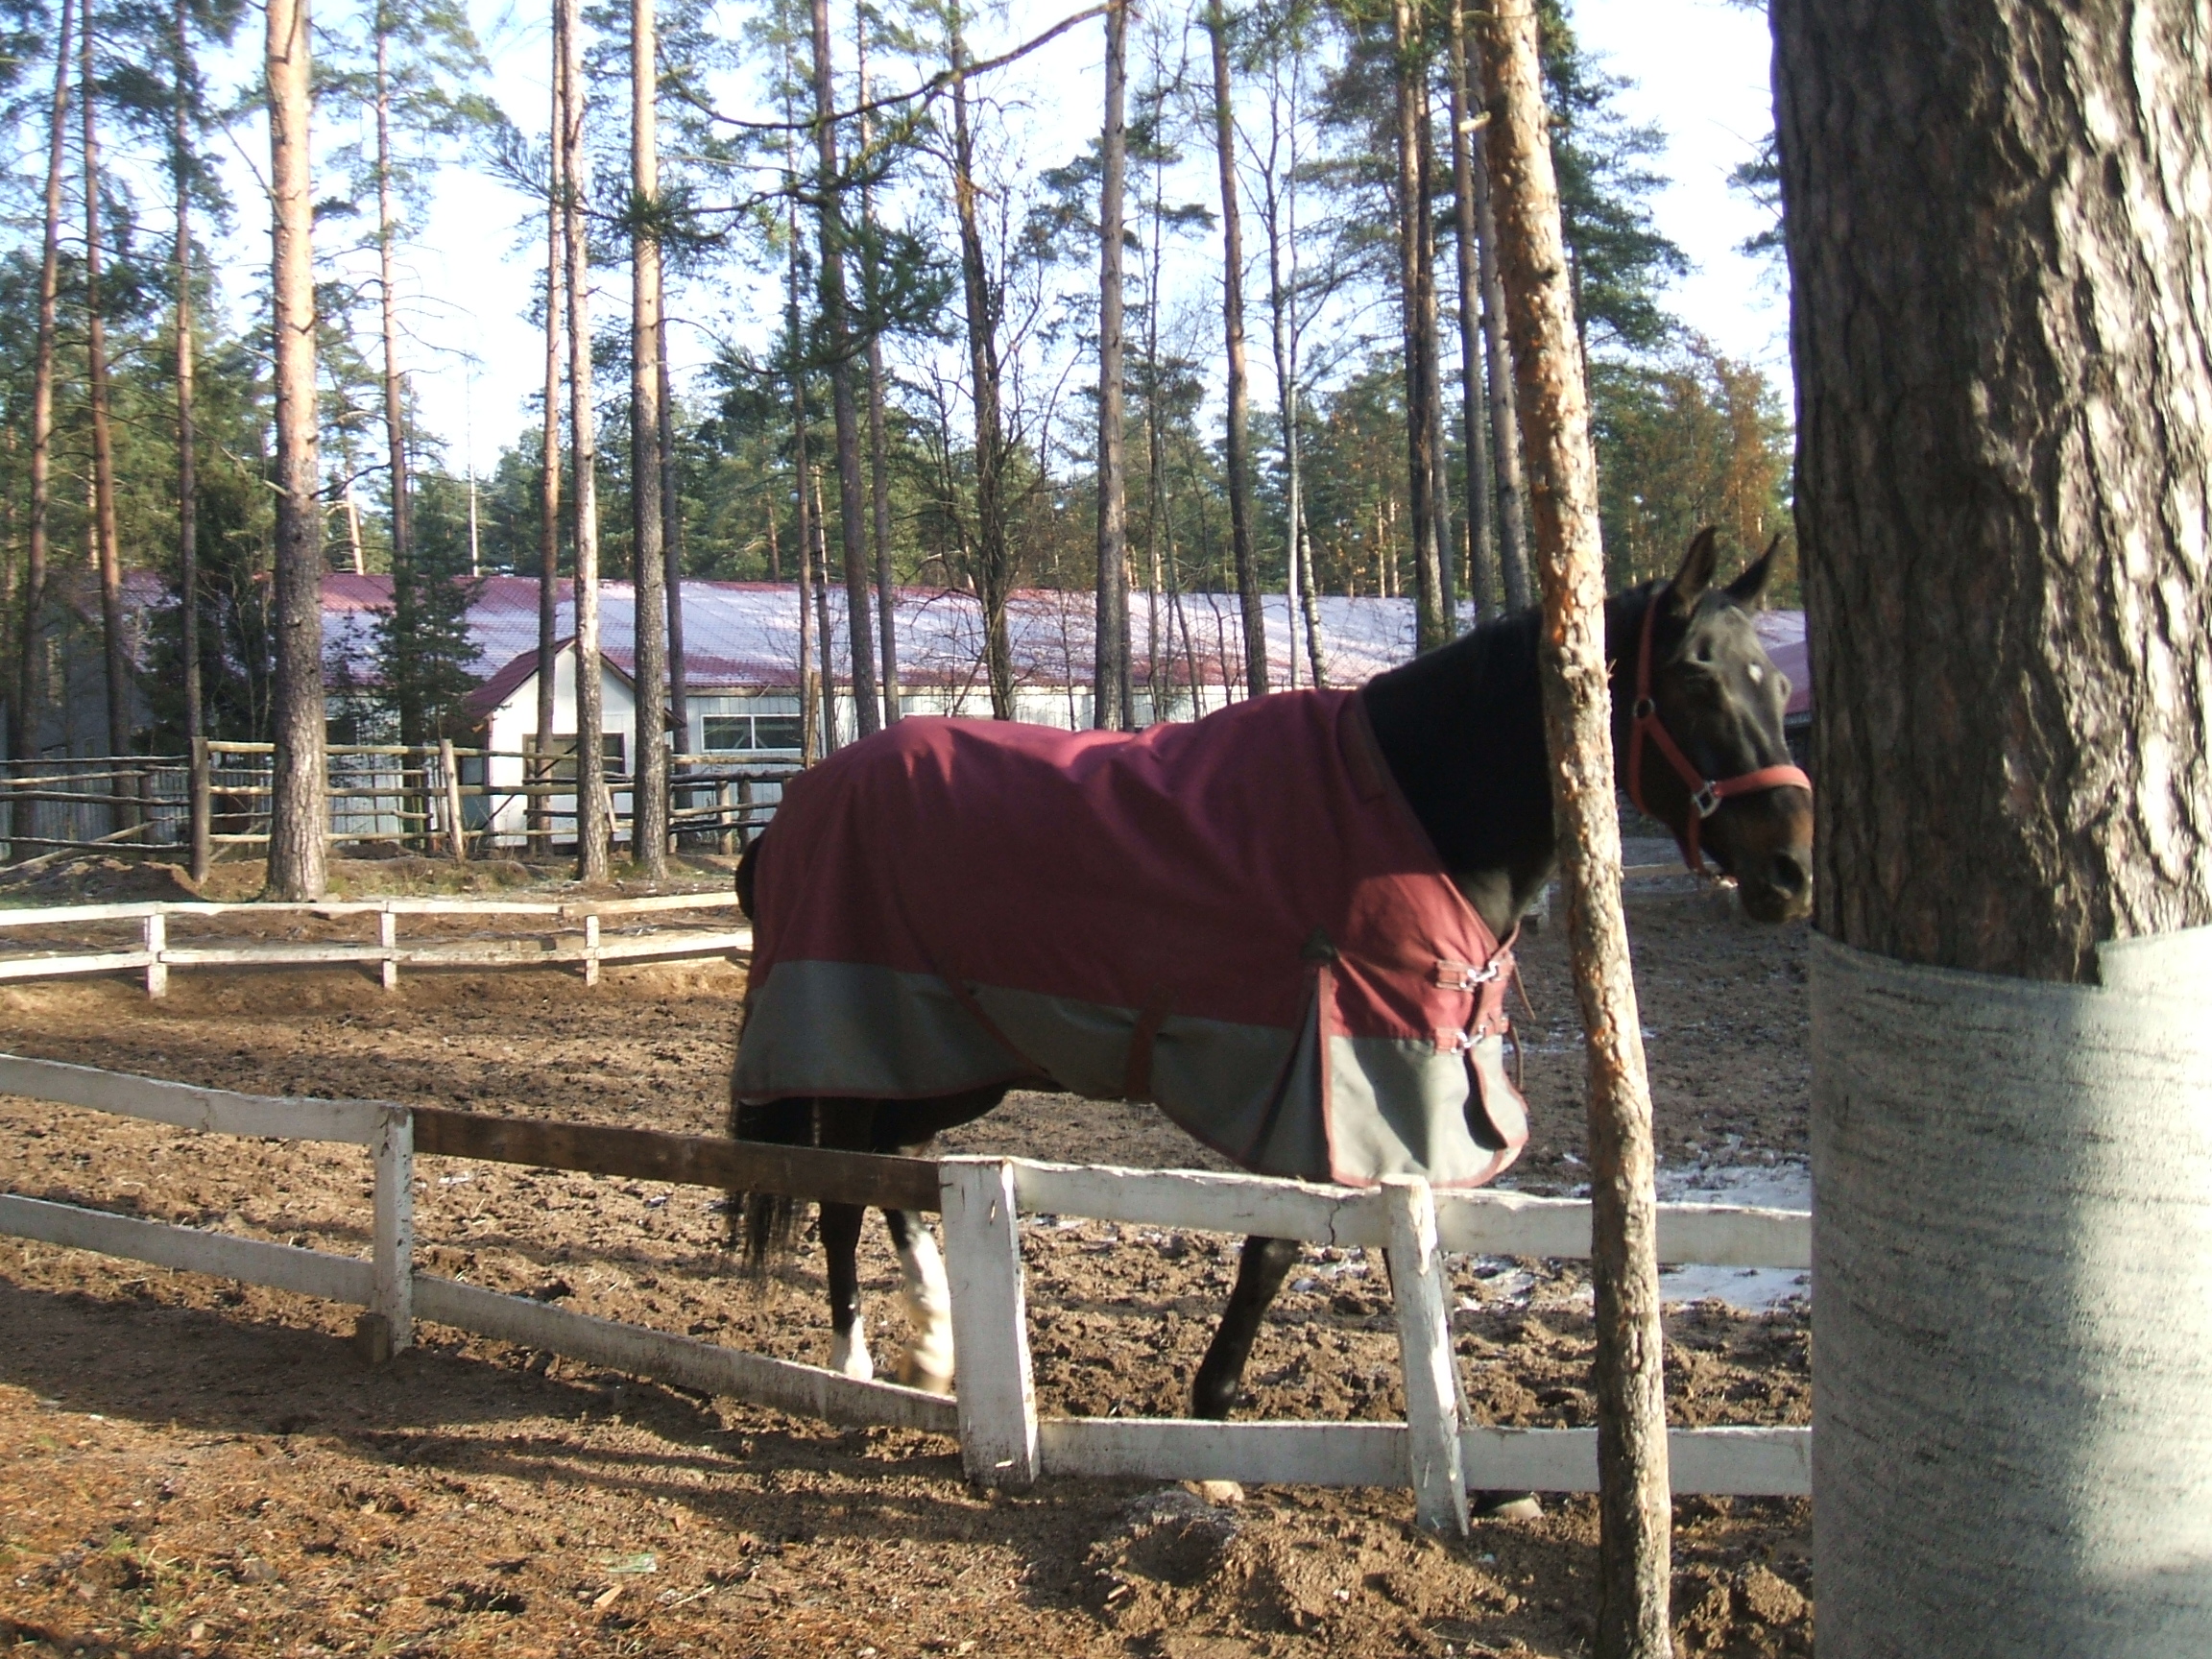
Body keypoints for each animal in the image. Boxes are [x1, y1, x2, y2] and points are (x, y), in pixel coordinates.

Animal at [725, 528, 1814, 1415]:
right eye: (1697, 681)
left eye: (1776, 687)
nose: (1791, 869)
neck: (1412, 808)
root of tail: (795, 806)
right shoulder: (1322, 1082)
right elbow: (1280, 1245)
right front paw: (1213, 1415)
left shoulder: (1398, 1088)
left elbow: (1407, 1244)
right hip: (862, 1046)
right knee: (837, 1191)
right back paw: (855, 1367)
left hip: (949, 1060)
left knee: (896, 1171)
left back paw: (937, 1352)